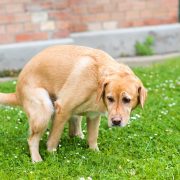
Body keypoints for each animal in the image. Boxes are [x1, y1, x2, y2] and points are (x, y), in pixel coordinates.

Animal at [0, 44, 146, 162]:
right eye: (110, 98)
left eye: (126, 100)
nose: (116, 122)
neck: (97, 81)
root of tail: (17, 92)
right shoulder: (63, 108)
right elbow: (53, 139)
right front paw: (51, 155)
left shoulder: (93, 116)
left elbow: (93, 137)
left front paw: (95, 152)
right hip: (44, 110)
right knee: (32, 140)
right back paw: (37, 159)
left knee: (73, 130)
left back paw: (78, 137)